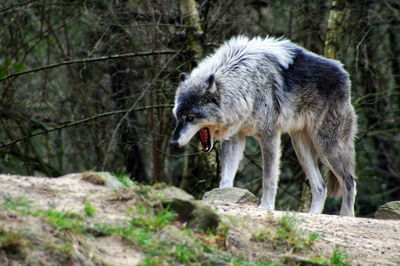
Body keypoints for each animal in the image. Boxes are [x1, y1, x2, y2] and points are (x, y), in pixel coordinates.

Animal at [170, 35, 358, 216]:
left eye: (191, 118)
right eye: (178, 117)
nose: (173, 143)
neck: (246, 85)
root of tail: (344, 74)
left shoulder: (270, 135)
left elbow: (268, 178)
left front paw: (266, 206)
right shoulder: (235, 138)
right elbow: (226, 177)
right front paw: (223, 196)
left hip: (326, 146)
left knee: (349, 181)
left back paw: (346, 216)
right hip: (301, 147)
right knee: (320, 187)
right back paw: (313, 214)